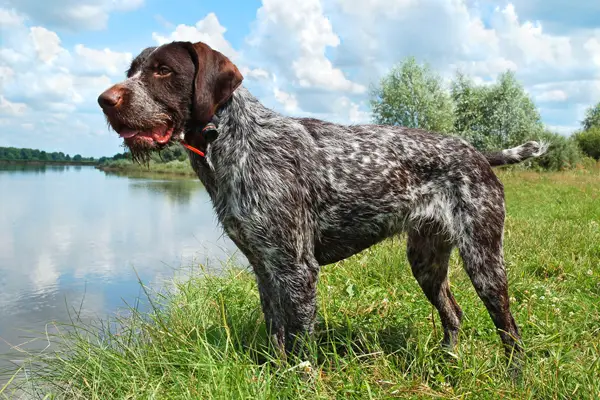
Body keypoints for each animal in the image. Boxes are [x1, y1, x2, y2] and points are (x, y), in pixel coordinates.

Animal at [97, 40, 548, 366]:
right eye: (131, 71)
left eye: (163, 70)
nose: (105, 100)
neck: (232, 141)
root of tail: (476, 153)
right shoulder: (265, 267)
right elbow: (276, 334)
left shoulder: (297, 269)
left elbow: (300, 345)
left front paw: (299, 379)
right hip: (426, 261)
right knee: (453, 313)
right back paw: (449, 362)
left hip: (484, 261)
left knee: (509, 328)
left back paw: (515, 374)